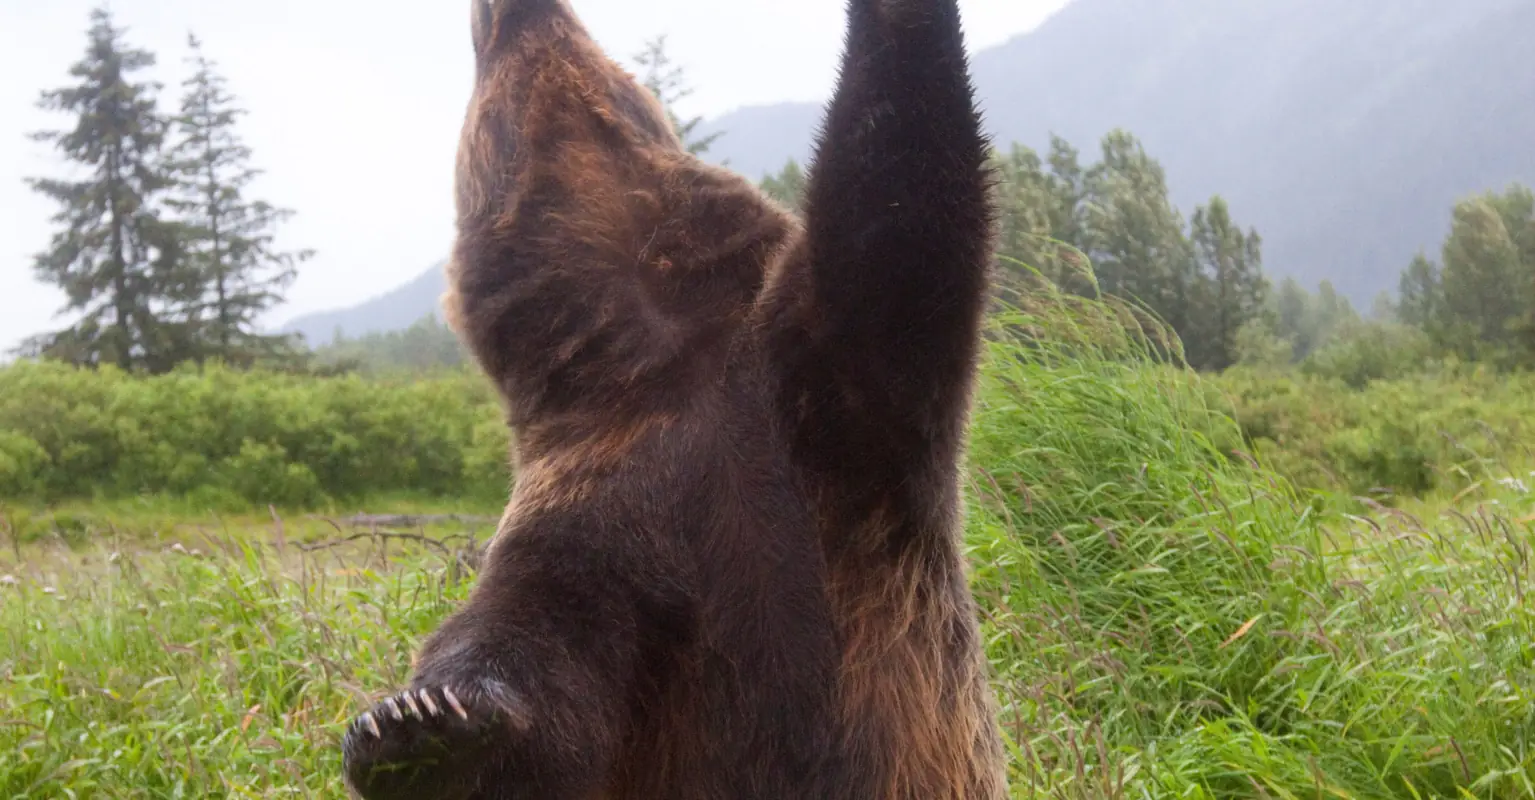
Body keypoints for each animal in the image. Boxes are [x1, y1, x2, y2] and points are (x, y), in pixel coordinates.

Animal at [340, 0, 1006, 797]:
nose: (507, 9)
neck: (654, 349)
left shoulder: (823, 410)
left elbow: (895, 220)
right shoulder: (588, 503)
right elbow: (539, 664)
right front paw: (414, 726)